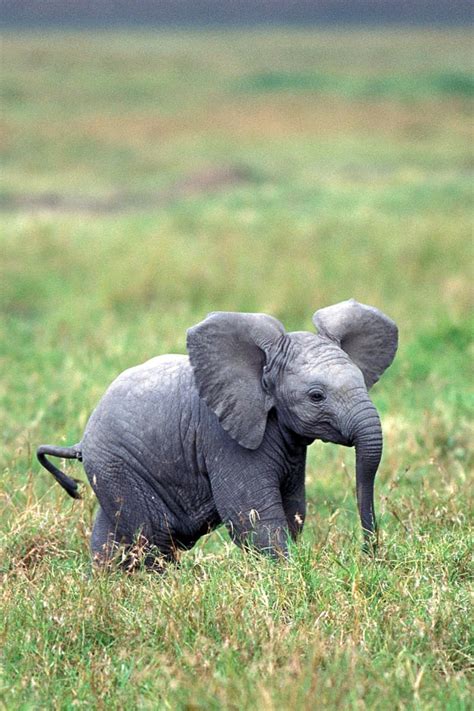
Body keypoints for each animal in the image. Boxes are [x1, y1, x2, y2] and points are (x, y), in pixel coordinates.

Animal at [39, 300, 398, 568]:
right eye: (316, 396)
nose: (369, 555)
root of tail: (83, 440)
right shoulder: (223, 439)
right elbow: (253, 518)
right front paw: (287, 574)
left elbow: (293, 509)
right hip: (118, 465)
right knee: (152, 535)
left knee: (114, 536)